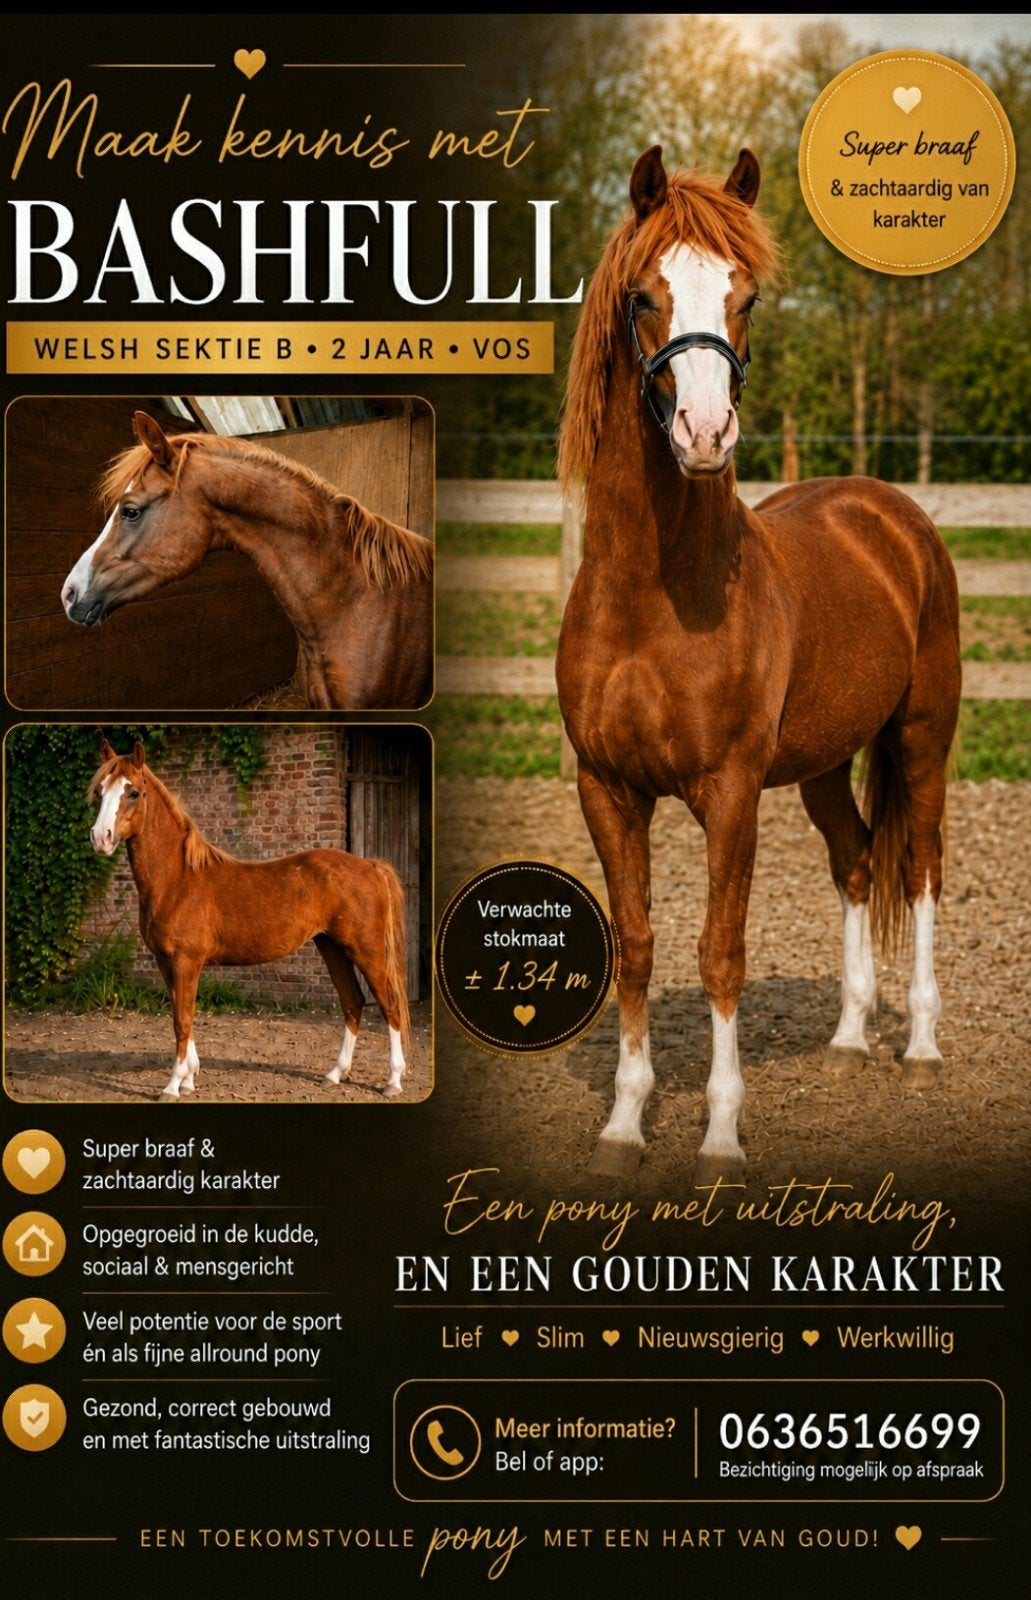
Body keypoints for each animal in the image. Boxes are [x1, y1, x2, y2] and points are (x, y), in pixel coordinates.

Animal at [87, 739, 411, 1101]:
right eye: (100, 791)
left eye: (133, 792)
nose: (100, 837)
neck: (177, 879)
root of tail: (370, 865)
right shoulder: (165, 962)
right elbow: (183, 1015)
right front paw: (189, 1078)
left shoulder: (185, 962)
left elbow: (182, 1020)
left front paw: (173, 1085)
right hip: (332, 947)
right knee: (353, 1002)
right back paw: (335, 1074)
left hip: (366, 950)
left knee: (390, 1005)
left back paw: (393, 1081)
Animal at [556, 146, 961, 1185]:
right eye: (643, 296)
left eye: (746, 297)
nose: (705, 434)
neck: (653, 597)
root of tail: (890, 514)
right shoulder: (605, 788)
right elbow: (639, 945)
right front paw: (624, 1124)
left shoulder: (729, 790)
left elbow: (719, 951)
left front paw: (719, 1137)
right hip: (822, 761)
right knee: (855, 860)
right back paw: (850, 1040)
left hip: (922, 736)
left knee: (920, 869)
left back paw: (919, 1048)